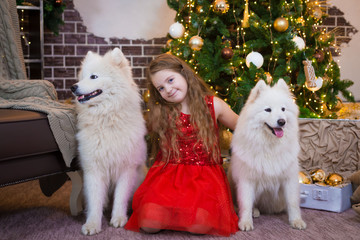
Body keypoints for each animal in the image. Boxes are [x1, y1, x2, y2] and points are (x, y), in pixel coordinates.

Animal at [71, 47, 147, 235]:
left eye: (93, 76)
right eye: (82, 76)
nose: (73, 87)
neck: (106, 118)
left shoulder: (127, 168)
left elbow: (120, 197)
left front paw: (119, 218)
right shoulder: (93, 169)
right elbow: (95, 201)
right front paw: (92, 224)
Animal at [231, 78, 306, 231]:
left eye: (283, 109)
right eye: (268, 110)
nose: (281, 121)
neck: (270, 146)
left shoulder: (289, 178)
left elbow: (293, 202)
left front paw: (296, 221)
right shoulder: (247, 180)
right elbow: (246, 203)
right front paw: (245, 222)